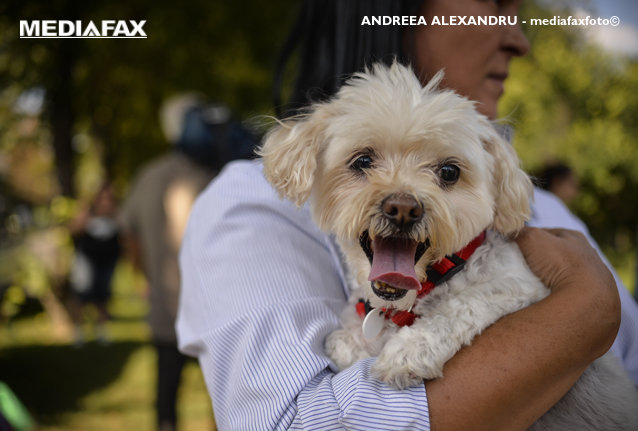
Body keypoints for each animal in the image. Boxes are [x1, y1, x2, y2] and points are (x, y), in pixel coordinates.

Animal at [260, 62, 638, 430]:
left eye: (449, 172)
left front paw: (409, 351)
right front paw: (351, 340)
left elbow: (465, 304)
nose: (403, 208)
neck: (421, 292)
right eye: (363, 161)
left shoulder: (520, 286)